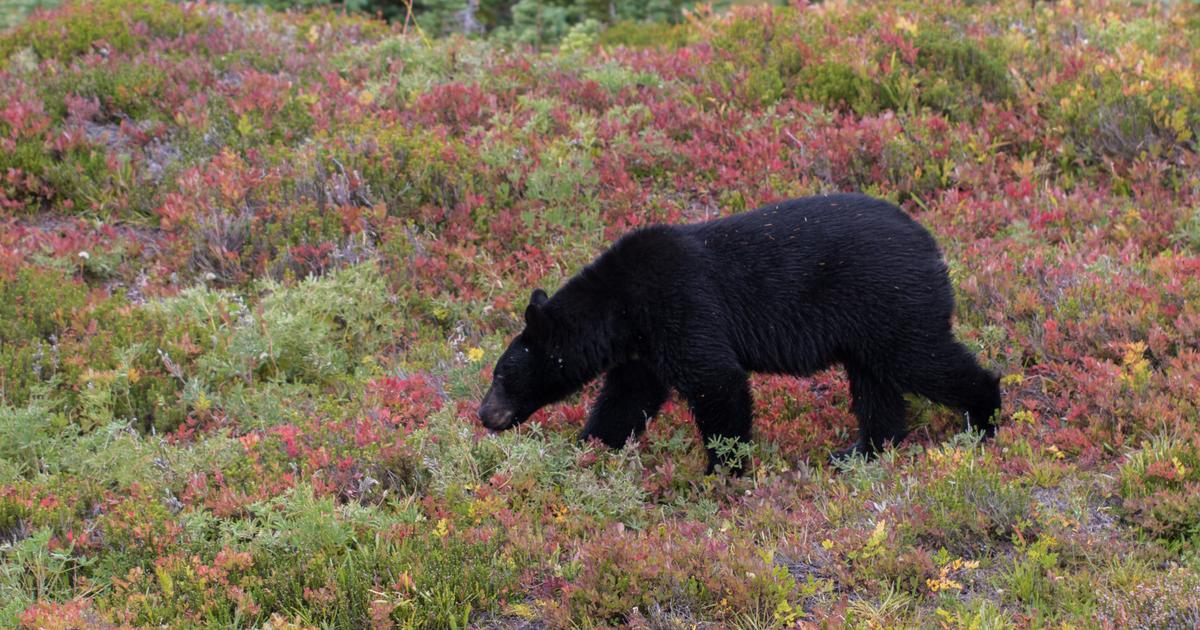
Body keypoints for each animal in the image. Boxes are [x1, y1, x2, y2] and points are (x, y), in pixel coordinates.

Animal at [477, 192, 1003, 470]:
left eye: (502, 375)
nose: (483, 414)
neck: (621, 308)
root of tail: (932, 244)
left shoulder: (681, 306)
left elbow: (716, 379)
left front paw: (722, 468)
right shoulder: (643, 349)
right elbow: (626, 399)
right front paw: (587, 451)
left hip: (889, 301)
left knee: (922, 360)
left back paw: (984, 419)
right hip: (868, 324)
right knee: (874, 383)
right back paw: (859, 450)